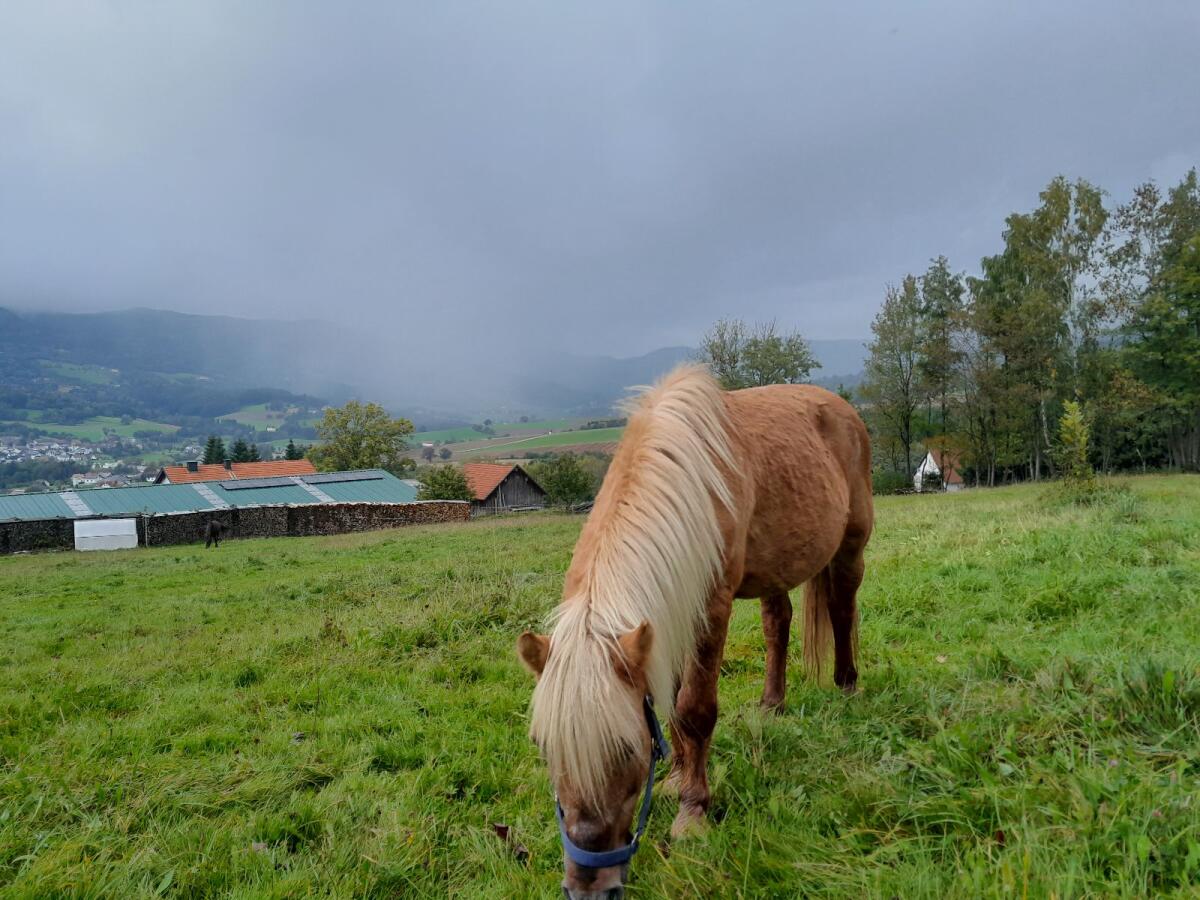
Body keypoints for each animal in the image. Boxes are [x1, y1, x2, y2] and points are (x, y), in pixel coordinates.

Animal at [516, 365, 873, 899]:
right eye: (543, 745)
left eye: (627, 748)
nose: (588, 888)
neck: (688, 485)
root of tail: (841, 408)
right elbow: (672, 703)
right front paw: (677, 777)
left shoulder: (709, 609)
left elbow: (693, 710)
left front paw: (693, 812)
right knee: (778, 623)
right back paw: (772, 704)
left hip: (852, 546)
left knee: (842, 609)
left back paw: (847, 686)